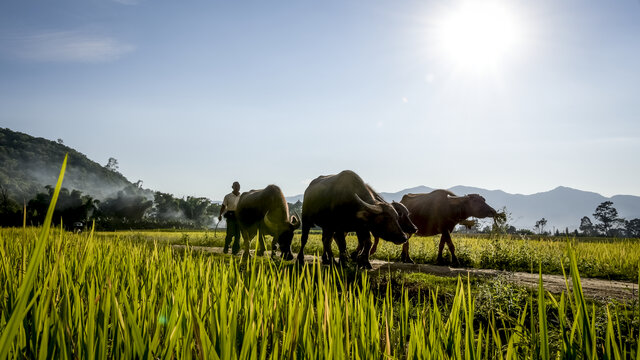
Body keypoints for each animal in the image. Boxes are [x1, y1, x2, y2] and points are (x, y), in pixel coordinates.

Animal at [368, 191, 498, 264]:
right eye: (476, 201)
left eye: (483, 200)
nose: (493, 211)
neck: (451, 207)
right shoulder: (444, 229)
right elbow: (451, 245)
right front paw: (455, 261)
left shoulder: (446, 229)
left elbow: (442, 245)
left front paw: (439, 260)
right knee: (406, 243)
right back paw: (408, 259)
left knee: (405, 242)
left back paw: (404, 258)